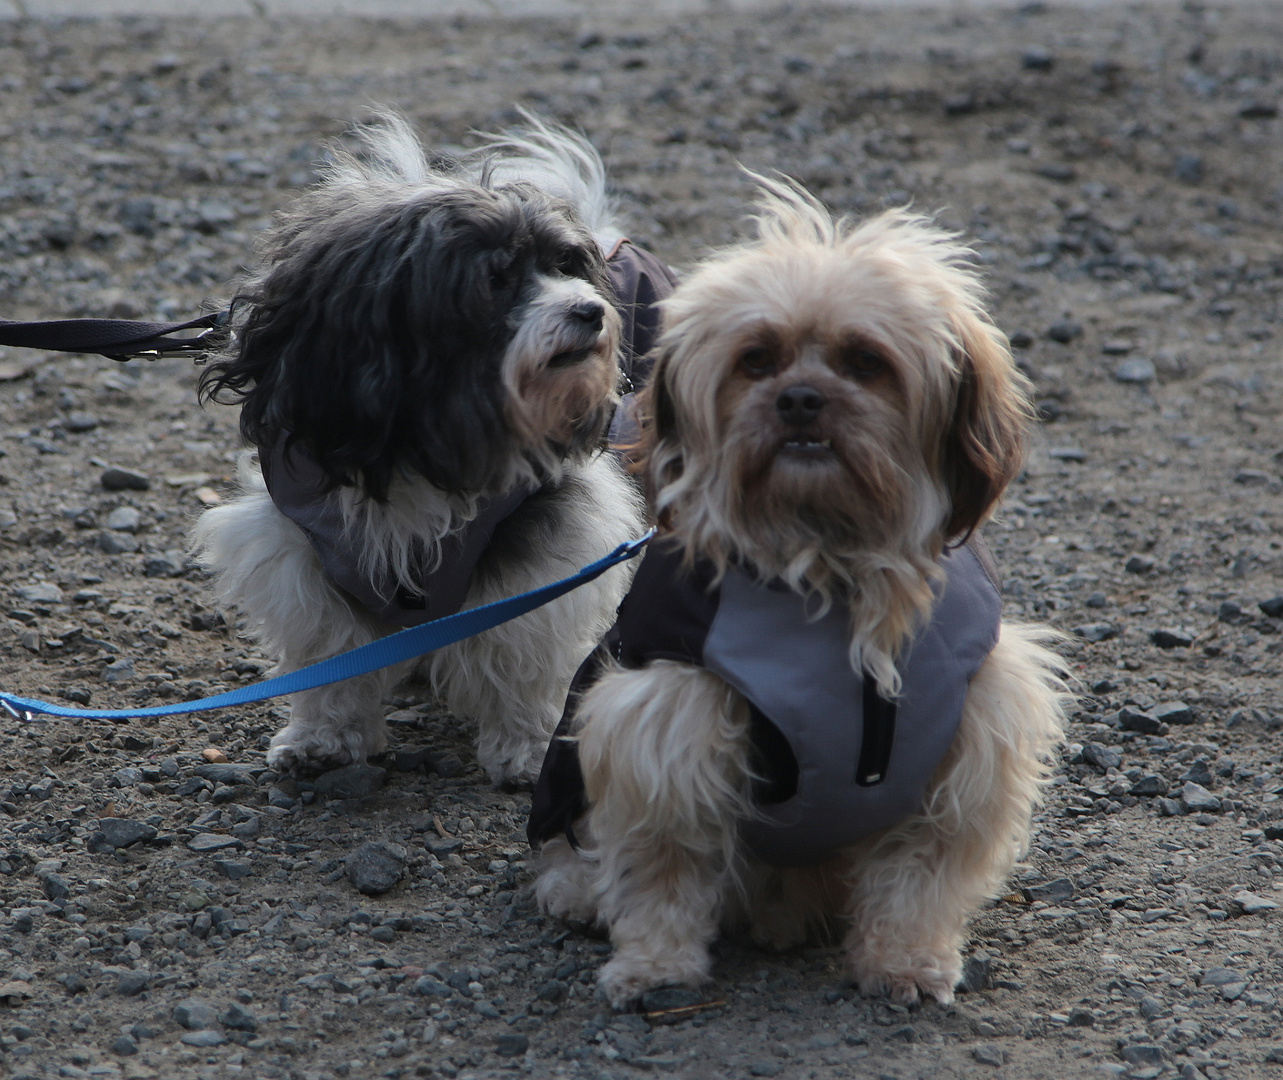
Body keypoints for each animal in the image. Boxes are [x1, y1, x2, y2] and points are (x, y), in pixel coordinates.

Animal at [195, 113, 672, 779]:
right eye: (497, 280)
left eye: (567, 266)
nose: (591, 310)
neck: (423, 434)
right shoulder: (308, 552)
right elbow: (332, 654)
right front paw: (325, 737)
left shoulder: (539, 539)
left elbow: (519, 646)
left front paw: (525, 747)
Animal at [531, 178, 1072, 1010]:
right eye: (755, 360)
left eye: (865, 362)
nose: (800, 399)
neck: (829, 559)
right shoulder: (668, 718)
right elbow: (664, 866)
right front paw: (655, 965)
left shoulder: (973, 736)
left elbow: (920, 875)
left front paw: (905, 959)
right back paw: (582, 894)